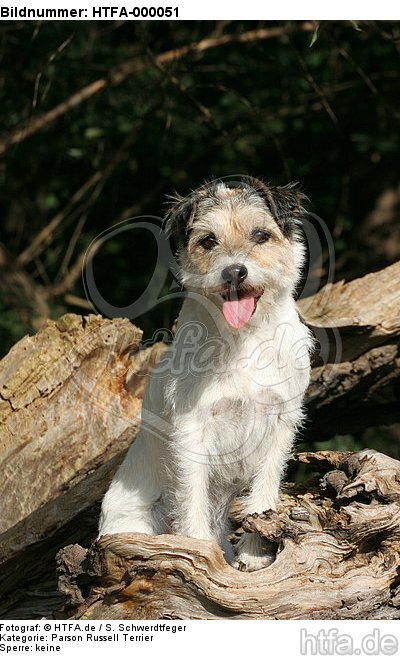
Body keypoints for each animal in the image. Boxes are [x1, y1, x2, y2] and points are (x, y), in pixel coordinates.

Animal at [99, 176, 312, 568]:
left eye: (261, 235)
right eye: (208, 240)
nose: (234, 272)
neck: (244, 339)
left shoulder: (281, 422)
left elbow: (264, 492)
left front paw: (254, 555)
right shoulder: (191, 430)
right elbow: (192, 498)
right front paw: (199, 553)